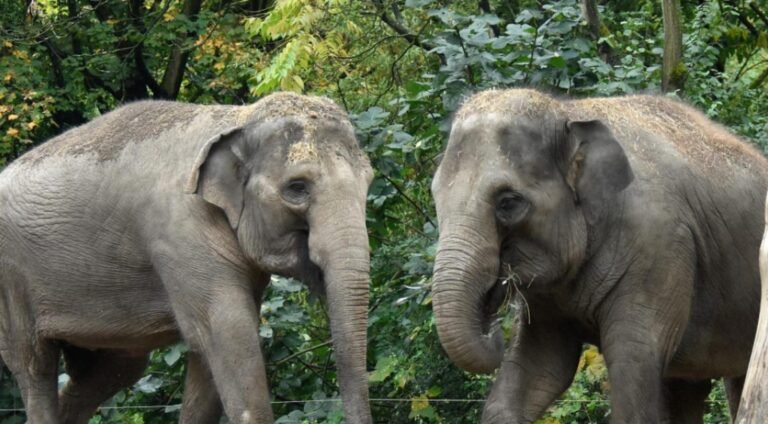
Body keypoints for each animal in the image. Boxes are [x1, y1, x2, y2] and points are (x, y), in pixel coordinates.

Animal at [0, 93, 376, 424]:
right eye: (297, 188)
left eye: (368, 181)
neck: (237, 118)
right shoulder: (181, 234)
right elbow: (227, 334)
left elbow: (210, 354)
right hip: (10, 282)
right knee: (35, 364)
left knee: (114, 369)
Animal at [428, 88, 768, 422]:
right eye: (435, 196)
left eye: (508, 202)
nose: (495, 326)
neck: (570, 111)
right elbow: (540, 366)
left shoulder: (659, 247)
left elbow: (633, 364)